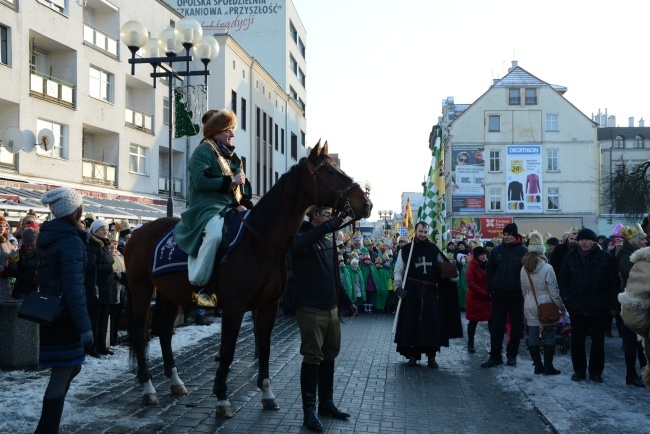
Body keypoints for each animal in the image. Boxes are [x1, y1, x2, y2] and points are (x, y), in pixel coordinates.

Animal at [122, 141, 370, 416]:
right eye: (328, 171)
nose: (366, 203)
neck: (260, 241)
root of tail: (138, 232)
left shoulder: (268, 306)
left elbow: (264, 346)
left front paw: (267, 394)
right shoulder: (234, 307)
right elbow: (228, 349)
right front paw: (221, 397)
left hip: (170, 295)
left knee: (164, 332)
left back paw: (176, 381)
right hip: (142, 291)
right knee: (141, 334)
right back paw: (148, 388)